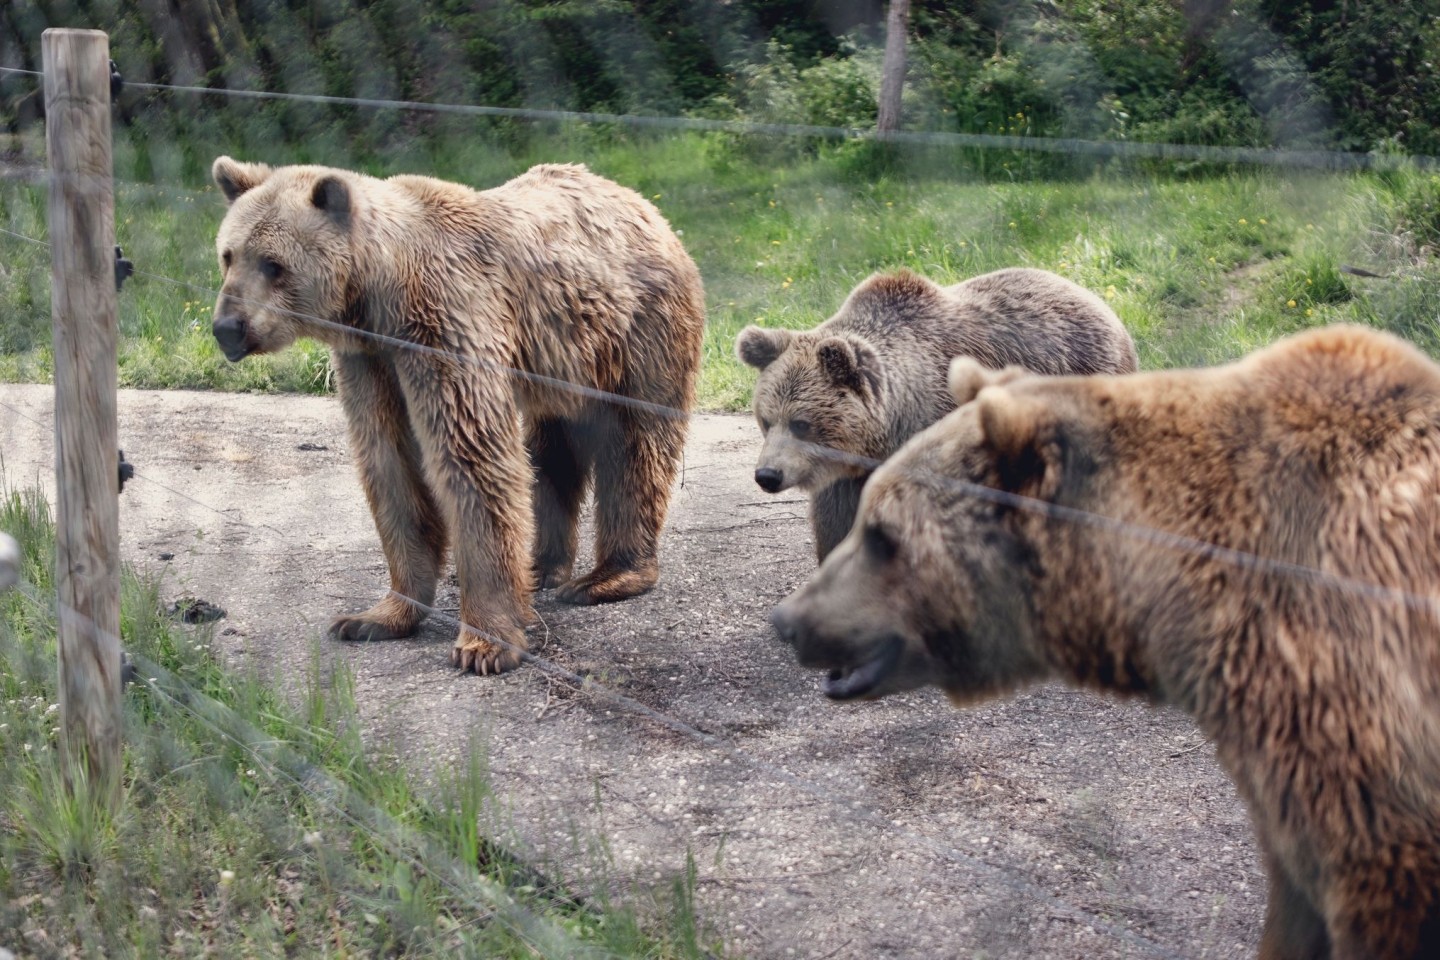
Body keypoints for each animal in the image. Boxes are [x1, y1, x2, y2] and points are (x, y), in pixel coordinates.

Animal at [210, 157, 705, 676]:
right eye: (228, 255)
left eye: (274, 264)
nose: (227, 328)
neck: (380, 296)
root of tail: (643, 205)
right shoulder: (372, 362)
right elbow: (391, 463)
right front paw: (374, 617)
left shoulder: (448, 325)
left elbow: (472, 459)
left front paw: (483, 644)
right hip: (560, 363)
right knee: (552, 452)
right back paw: (541, 567)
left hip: (637, 332)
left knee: (635, 444)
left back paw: (608, 576)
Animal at [743, 266, 1134, 558]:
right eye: (766, 420)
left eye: (801, 423)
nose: (768, 475)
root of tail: (1100, 302)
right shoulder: (847, 477)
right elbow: (836, 525)